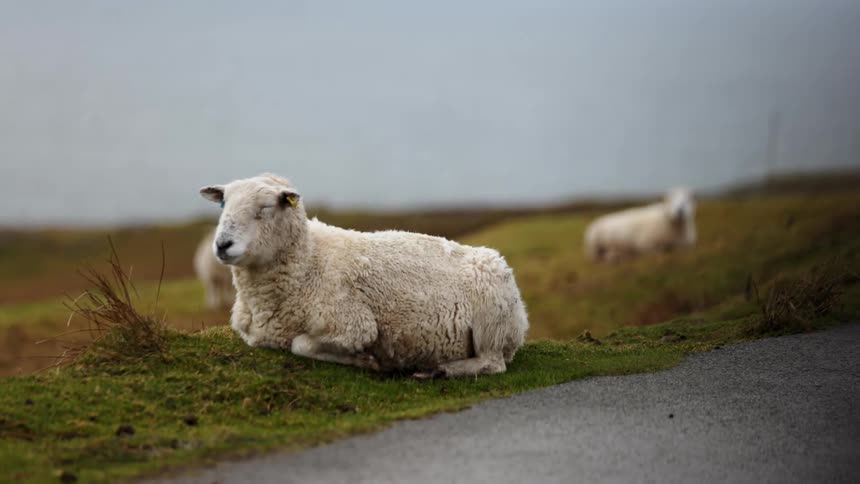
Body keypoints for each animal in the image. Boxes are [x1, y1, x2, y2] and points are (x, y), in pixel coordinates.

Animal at [198, 173, 529, 377]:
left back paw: (440, 369)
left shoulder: (354, 326)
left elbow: (300, 345)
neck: (308, 262)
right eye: (223, 203)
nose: (222, 244)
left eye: (265, 207)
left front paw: (366, 361)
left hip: (492, 327)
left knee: (492, 364)